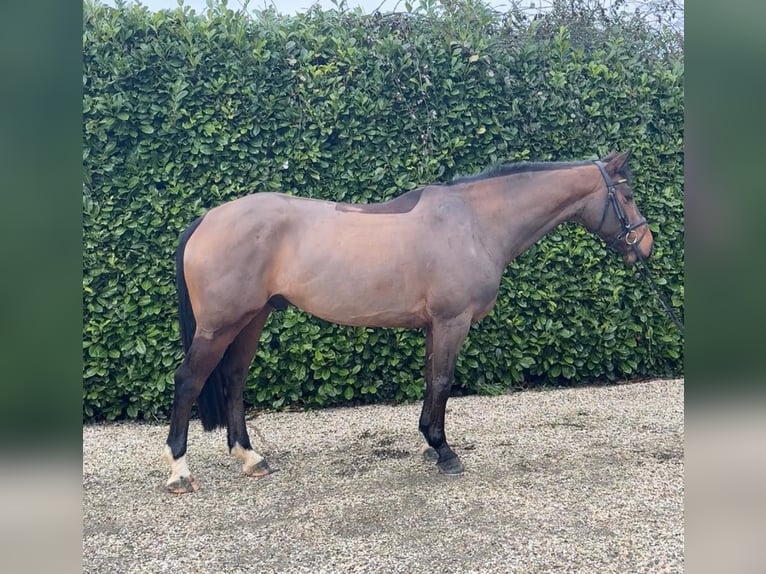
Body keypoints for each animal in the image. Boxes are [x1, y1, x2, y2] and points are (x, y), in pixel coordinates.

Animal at [163, 150, 654, 493]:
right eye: (627, 195)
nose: (646, 246)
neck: (473, 223)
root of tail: (207, 218)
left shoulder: (435, 325)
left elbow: (429, 378)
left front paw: (429, 445)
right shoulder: (453, 321)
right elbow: (443, 381)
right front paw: (445, 452)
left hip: (252, 319)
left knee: (234, 378)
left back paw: (250, 458)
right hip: (220, 325)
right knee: (189, 380)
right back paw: (180, 471)